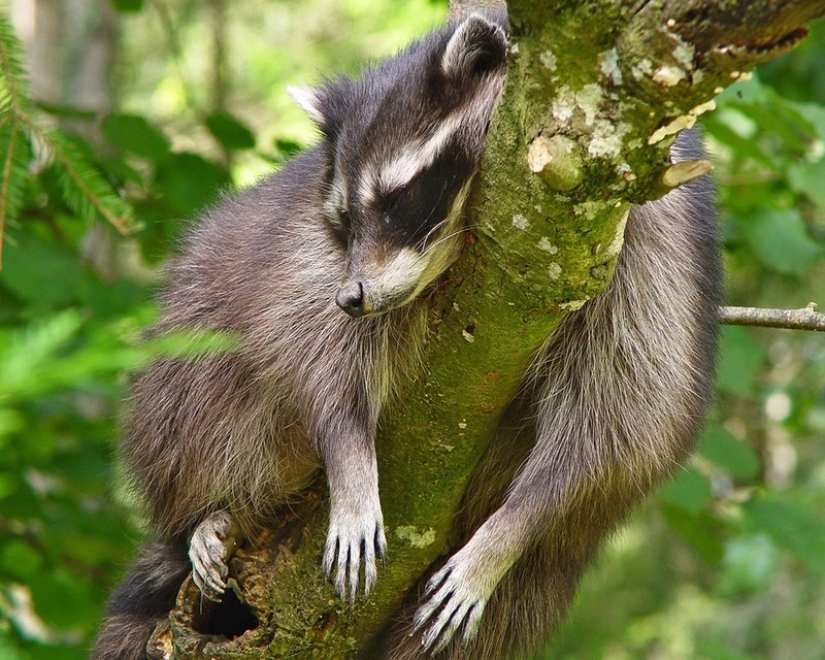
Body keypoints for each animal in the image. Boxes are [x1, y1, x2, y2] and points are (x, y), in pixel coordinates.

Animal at [91, 14, 508, 660]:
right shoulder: (299, 265)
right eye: (344, 219)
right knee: (194, 393)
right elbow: (307, 349)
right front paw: (349, 457)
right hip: (182, 375)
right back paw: (213, 512)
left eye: (396, 203)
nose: (351, 298)